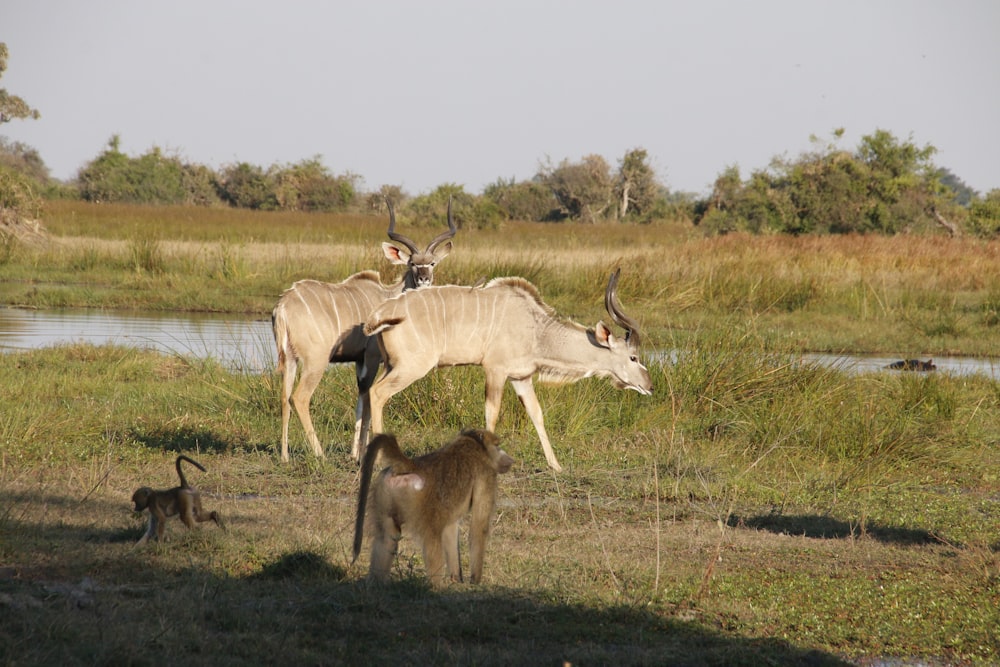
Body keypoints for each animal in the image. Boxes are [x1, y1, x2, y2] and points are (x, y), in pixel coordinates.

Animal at [272, 201, 456, 462]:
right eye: (412, 263)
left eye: (432, 263)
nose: (423, 279)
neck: (389, 296)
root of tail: (283, 306)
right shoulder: (372, 356)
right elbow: (368, 396)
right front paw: (363, 454)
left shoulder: (360, 360)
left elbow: (361, 398)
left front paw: (354, 453)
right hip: (316, 361)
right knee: (299, 397)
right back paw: (320, 454)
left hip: (289, 359)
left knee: (284, 398)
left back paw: (285, 456)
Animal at [364, 268, 652, 472]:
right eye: (634, 357)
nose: (649, 386)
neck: (535, 328)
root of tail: (380, 313)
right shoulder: (495, 371)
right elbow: (492, 414)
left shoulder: (521, 378)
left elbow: (537, 414)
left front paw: (556, 465)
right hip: (411, 368)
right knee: (378, 394)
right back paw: (379, 460)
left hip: (391, 366)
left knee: (367, 393)